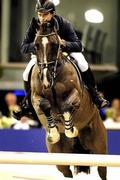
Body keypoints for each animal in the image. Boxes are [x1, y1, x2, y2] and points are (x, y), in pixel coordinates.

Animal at [30, 23, 107, 179]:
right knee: (66, 171)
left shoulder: (76, 95)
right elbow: (44, 104)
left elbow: (66, 106)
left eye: (55, 45)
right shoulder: (35, 98)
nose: (46, 80)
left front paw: (70, 129)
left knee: (102, 170)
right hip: (61, 158)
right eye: (36, 45)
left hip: (100, 148)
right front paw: (54, 132)